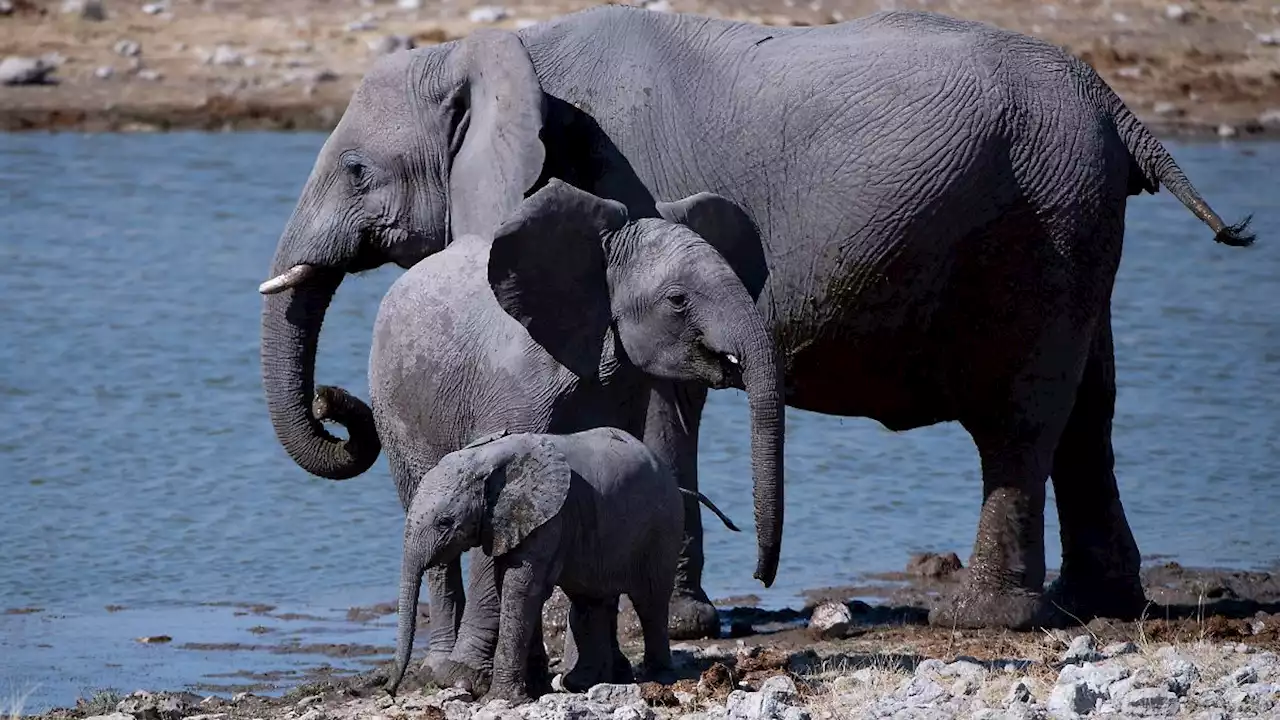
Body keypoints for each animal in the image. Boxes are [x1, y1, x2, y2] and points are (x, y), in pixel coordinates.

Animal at [257, 4, 1249, 632]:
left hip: (1043, 216)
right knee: (1090, 408)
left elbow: (660, 401)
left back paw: (985, 618)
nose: (341, 409)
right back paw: (1097, 606)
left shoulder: (626, 185)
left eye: (356, 172)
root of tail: (1116, 105)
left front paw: (665, 621)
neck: (502, 49)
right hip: (1075, 222)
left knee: (1020, 414)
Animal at [384, 425, 737, 702]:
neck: (486, 457)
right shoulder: (510, 522)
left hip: (661, 527)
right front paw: (534, 689)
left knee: (649, 600)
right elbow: (511, 587)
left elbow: (520, 588)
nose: (391, 691)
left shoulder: (550, 518)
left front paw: (503, 699)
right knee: (591, 600)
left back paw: (658, 676)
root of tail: (675, 484)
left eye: (444, 522)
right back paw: (584, 682)